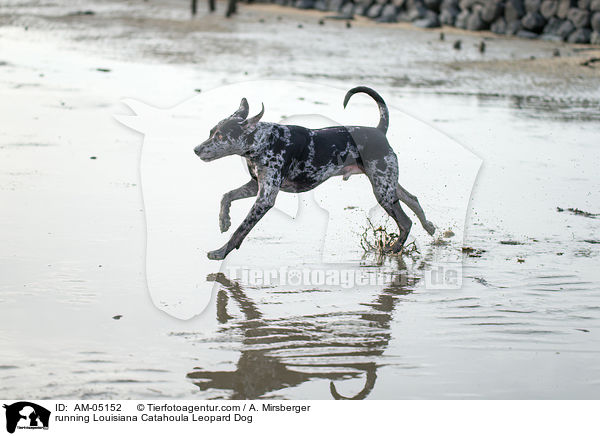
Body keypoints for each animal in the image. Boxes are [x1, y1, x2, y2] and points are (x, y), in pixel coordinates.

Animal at [196, 87, 436, 260]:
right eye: (210, 132)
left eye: (220, 136)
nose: (196, 149)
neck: (264, 141)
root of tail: (379, 130)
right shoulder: (257, 185)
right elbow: (226, 196)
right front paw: (224, 221)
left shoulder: (265, 198)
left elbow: (241, 229)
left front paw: (221, 251)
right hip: (386, 183)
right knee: (413, 199)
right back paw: (428, 226)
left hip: (383, 191)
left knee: (405, 222)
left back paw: (394, 248)